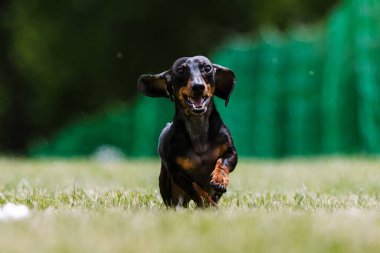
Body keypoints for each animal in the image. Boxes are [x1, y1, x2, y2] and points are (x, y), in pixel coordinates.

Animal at [137, 55, 238, 208]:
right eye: (180, 70)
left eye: (207, 68)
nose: (198, 87)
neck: (198, 130)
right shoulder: (177, 173)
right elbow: (197, 190)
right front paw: (209, 206)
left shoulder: (231, 152)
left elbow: (222, 162)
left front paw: (219, 180)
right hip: (167, 188)